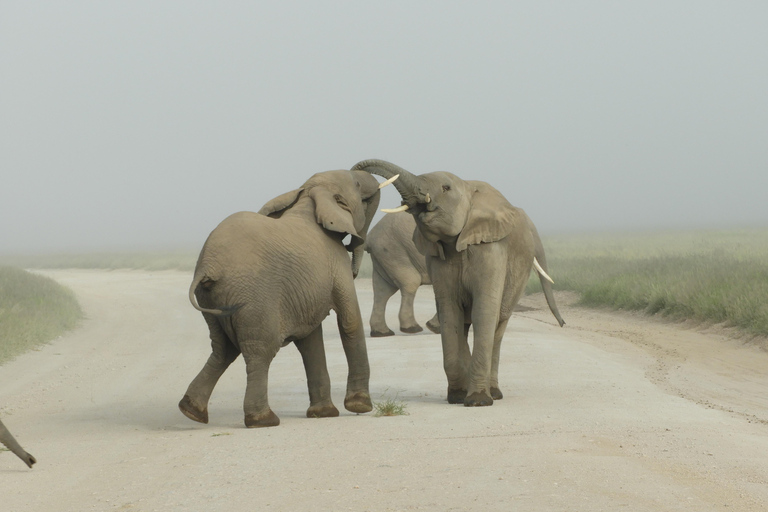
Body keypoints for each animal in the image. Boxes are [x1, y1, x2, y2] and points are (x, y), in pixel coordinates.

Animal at [179, 169, 384, 428]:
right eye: (356, 184)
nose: (357, 270)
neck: (310, 196)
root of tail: (208, 266)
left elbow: (310, 339)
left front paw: (323, 414)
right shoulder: (336, 262)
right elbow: (350, 321)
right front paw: (359, 407)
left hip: (212, 300)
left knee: (222, 349)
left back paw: (191, 411)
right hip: (254, 297)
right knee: (259, 352)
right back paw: (263, 420)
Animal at [350, 160, 564, 408]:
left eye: (445, 188)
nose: (563, 324)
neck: (469, 188)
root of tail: (370, 237)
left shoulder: (491, 249)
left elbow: (483, 311)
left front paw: (478, 401)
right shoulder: (439, 256)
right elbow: (450, 312)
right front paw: (458, 397)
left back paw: (493, 392)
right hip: (392, 251)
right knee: (401, 288)